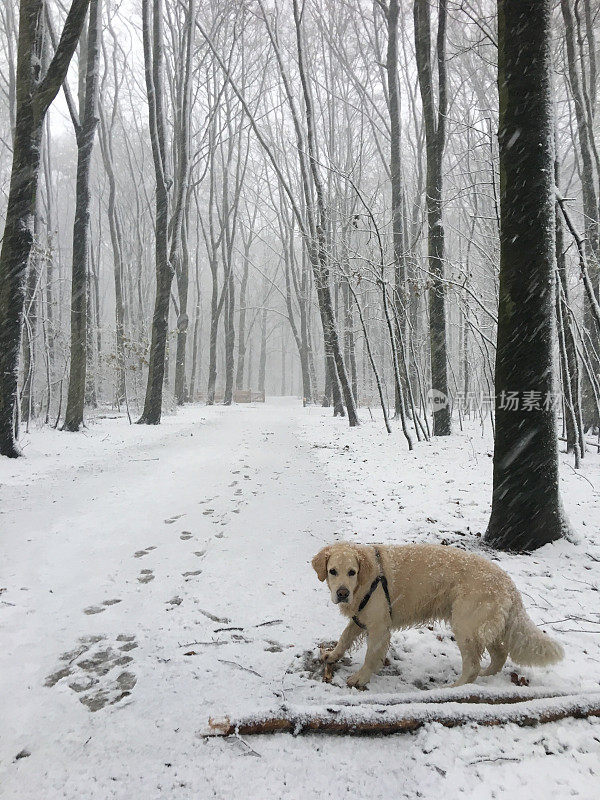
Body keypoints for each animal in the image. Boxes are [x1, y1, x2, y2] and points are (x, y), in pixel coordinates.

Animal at [312, 540, 564, 692]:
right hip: (482, 626)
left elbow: (370, 655)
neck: (367, 579)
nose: (342, 593)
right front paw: (331, 655)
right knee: (499, 654)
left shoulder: (378, 625)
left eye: (351, 572)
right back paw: (486, 675)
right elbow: (345, 637)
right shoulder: (361, 616)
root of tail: (509, 583)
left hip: (465, 625)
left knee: (472, 666)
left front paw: (361, 677)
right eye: (333, 571)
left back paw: (454, 688)